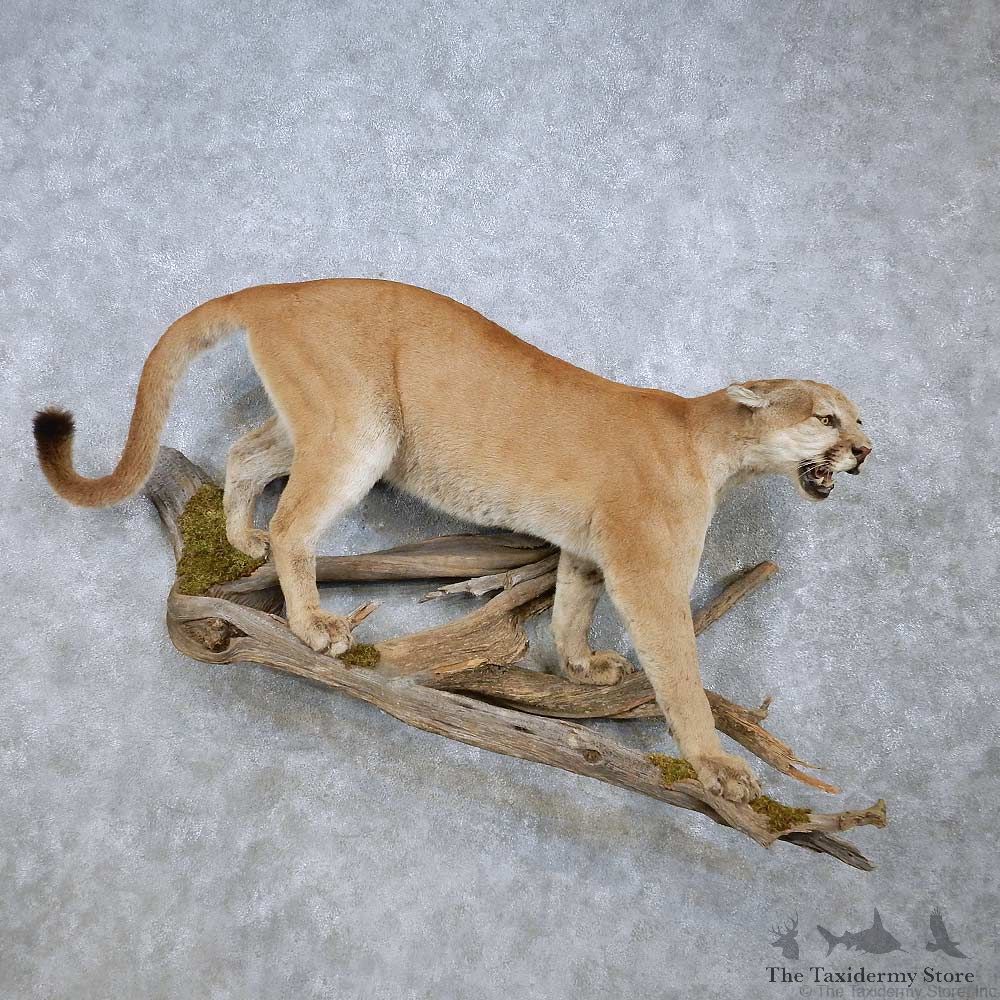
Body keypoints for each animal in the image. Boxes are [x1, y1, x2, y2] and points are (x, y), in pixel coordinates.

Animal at [33, 278, 872, 803]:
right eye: (828, 417)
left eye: (857, 418)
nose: (867, 450)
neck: (717, 448)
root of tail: (282, 287)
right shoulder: (649, 570)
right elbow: (680, 672)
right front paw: (719, 768)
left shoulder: (590, 550)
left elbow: (571, 604)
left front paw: (582, 666)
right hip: (361, 434)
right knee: (294, 521)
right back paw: (314, 626)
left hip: (328, 426)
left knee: (247, 454)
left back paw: (239, 539)